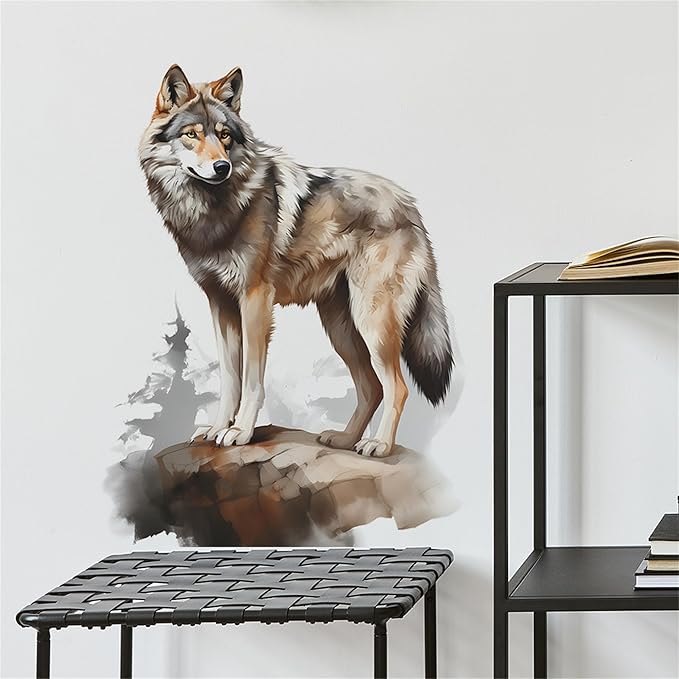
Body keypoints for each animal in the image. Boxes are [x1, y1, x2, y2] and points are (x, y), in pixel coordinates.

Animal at [139, 65, 453, 457]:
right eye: (191, 134)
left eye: (225, 136)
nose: (221, 166)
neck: (212, 211)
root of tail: (410, 205)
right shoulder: (220, 303)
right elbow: (229, 378)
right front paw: (217, 428)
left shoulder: (255, 300)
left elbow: (251, 379)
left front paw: (240, 432)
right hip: (340, 327)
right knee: (371, 387)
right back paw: (345, 440)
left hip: (372, 321)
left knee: (397, 386)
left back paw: (378, 444)